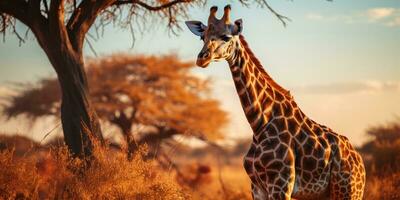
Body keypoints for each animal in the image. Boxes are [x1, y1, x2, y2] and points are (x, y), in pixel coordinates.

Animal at [184, 4, 366, 200]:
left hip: (347, 191)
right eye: (202, 36)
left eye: (226, 36)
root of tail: (360, 162)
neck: (258, 123)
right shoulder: (257, 186)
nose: (202, 58)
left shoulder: (281, 184)